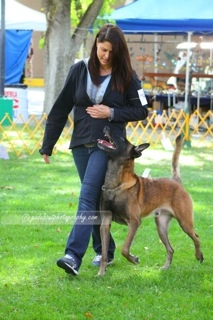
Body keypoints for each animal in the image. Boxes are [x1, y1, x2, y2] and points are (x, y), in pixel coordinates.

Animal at [96, 126, 203, 276]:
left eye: (122, 138)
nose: (106, 126)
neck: (116, 184)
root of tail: (176, 182)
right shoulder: (105, 224)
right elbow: (104, 254)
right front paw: (101, 273)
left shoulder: (134, 222)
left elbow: (124, 249)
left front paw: (134, 259)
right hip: (161, 226)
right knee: (170, 249)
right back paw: (166, 267)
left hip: (184, 222)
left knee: (196, 237)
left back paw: (199, 256)